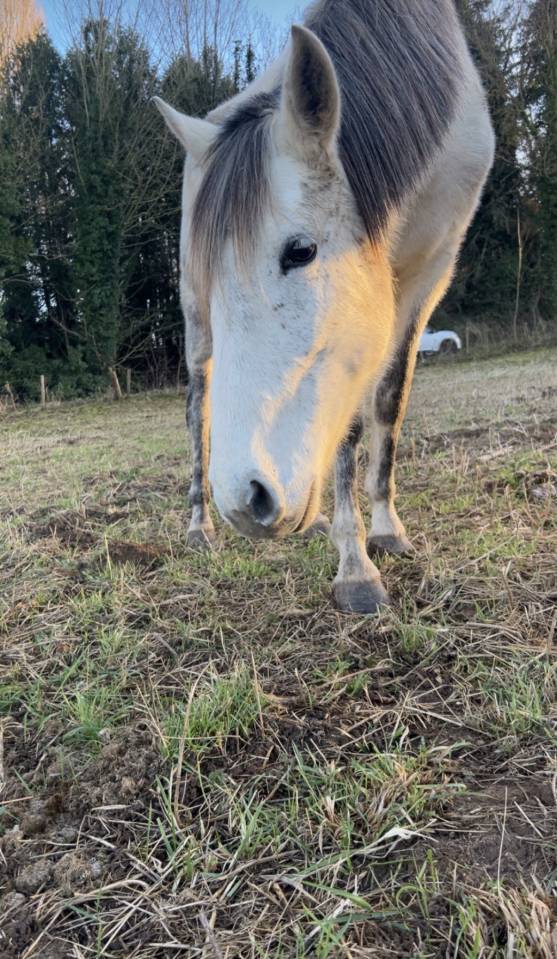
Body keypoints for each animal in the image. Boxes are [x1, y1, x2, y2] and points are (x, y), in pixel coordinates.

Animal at [154, 0, 494, 614]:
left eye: (302, 252)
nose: (245, 500)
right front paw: (356, 566)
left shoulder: (432, 269)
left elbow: (387, 400)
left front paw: (385, 528)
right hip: (195, 324)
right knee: (197, 408)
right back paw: (199, 527)